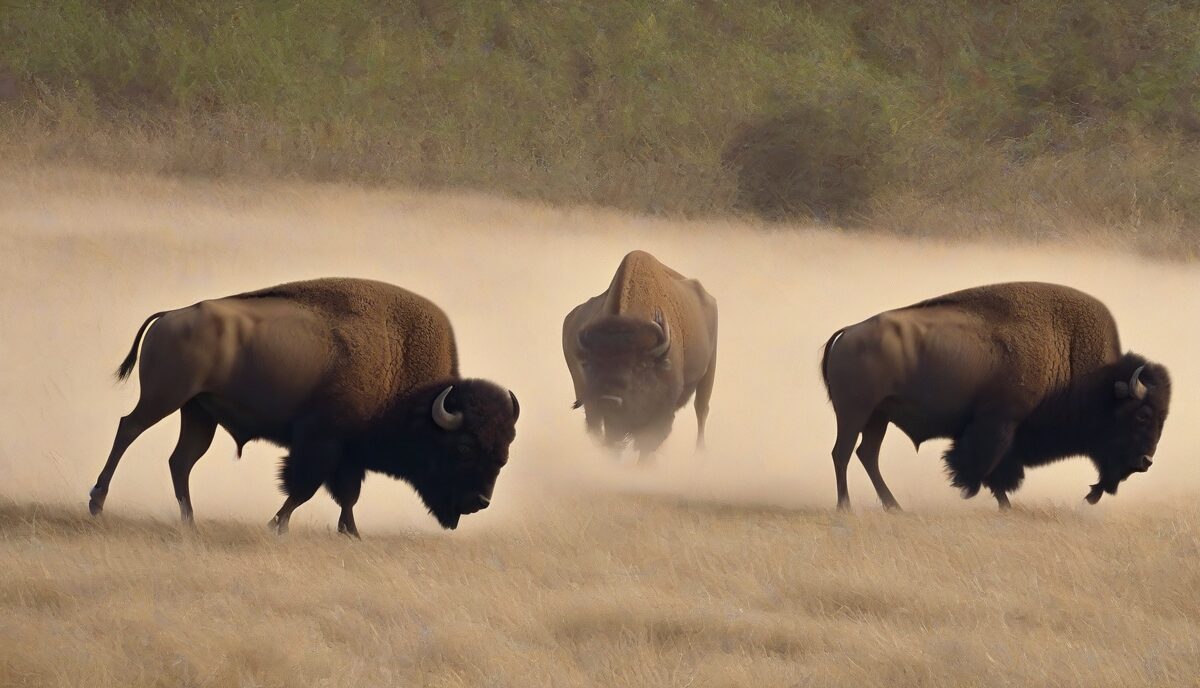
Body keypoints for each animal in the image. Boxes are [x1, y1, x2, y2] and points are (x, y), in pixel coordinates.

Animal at [88, 278, 519, 536]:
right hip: (164, 398)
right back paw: (97, 501)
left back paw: (190, 522)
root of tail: (173, 314)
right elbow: (304, 488)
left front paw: (350, 532)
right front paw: (276, 525)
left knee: (181, 461)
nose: (480, 501)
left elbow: (346, 496)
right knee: (128, 428)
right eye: (463, 447)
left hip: (198, 412)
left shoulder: (349, 455)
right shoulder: (321, 442)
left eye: (503, 456)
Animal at [563, 250, 718, 460]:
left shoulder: (662, 412)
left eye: (641, 366)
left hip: (709, 371)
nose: (609, 400)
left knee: (701, 409)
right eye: (591, 365)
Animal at [821, 282, 1170, 510]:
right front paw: (970, 491)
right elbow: (987, 465)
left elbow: (998, 471)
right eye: (1142, 415)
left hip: (878, 416)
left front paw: (1001, 504)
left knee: (866, 454)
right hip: (854, 411)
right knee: (842, 453)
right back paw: (845, 506)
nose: (1146, 461)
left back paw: (893, 506)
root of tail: (849, 332)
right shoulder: (1000, 423)